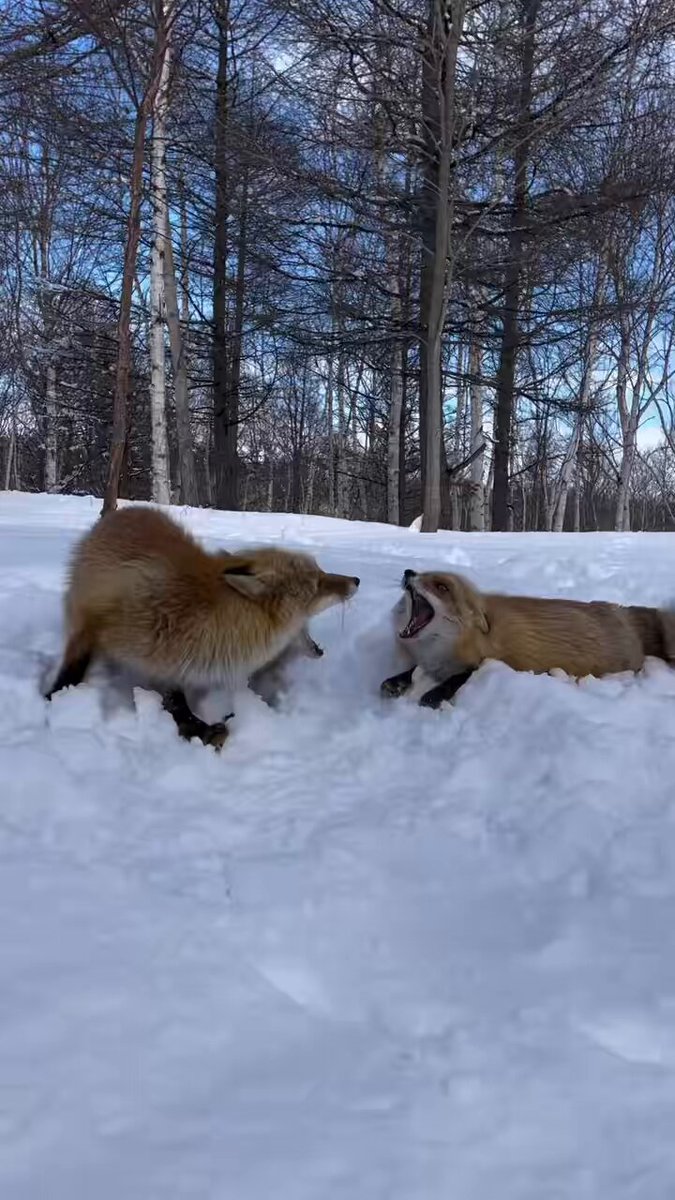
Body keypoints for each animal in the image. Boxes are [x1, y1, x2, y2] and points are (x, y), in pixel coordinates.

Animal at [45, 506, 359, 747]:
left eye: (321, 573)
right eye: (317, 583)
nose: (356, 579)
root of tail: (124, 510)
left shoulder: (170, 664)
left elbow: (177, 703)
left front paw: (200, 728)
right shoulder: (94, 624)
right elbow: (71, 670)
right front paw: (54, 700)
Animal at [381, 568, 675, 710]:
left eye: (441, 587)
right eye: (422, 573)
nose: (409, 571)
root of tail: (622, 612)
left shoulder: (490, 662)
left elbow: (460, 677)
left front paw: (432, 696)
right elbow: (410, 671)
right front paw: (395, 682)